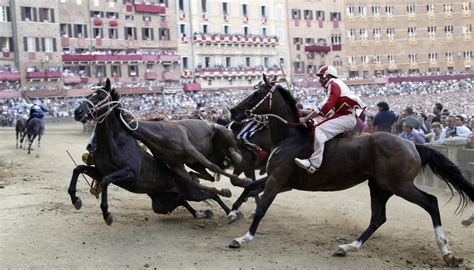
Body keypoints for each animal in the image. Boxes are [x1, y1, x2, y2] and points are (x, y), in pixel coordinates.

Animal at [70, 78, 231, 226]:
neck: (114, 145)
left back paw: (229, 210)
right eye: (89, 94)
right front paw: (75, 199)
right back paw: (202, 213)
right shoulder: (101, 171)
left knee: (211, 193)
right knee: (183, 201)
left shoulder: (130, 173)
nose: (78, 112)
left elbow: (105, 181)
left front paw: (106, 214)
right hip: (163, 203)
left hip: (191, 192)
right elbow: (79, 169)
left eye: (100, 96)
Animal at [228, 75, 472, 266]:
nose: (233, 112)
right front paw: (233, 212)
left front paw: (242, 238)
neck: (290, 137)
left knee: (430, 202)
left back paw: (447, 252)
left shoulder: (278, 179)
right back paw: (348, 247)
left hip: (399, 184)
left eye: (256, 93)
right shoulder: (280, 180)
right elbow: (249, 187)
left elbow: (261, 208)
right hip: (380, 186)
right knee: (378, 218)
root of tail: (411, 145)